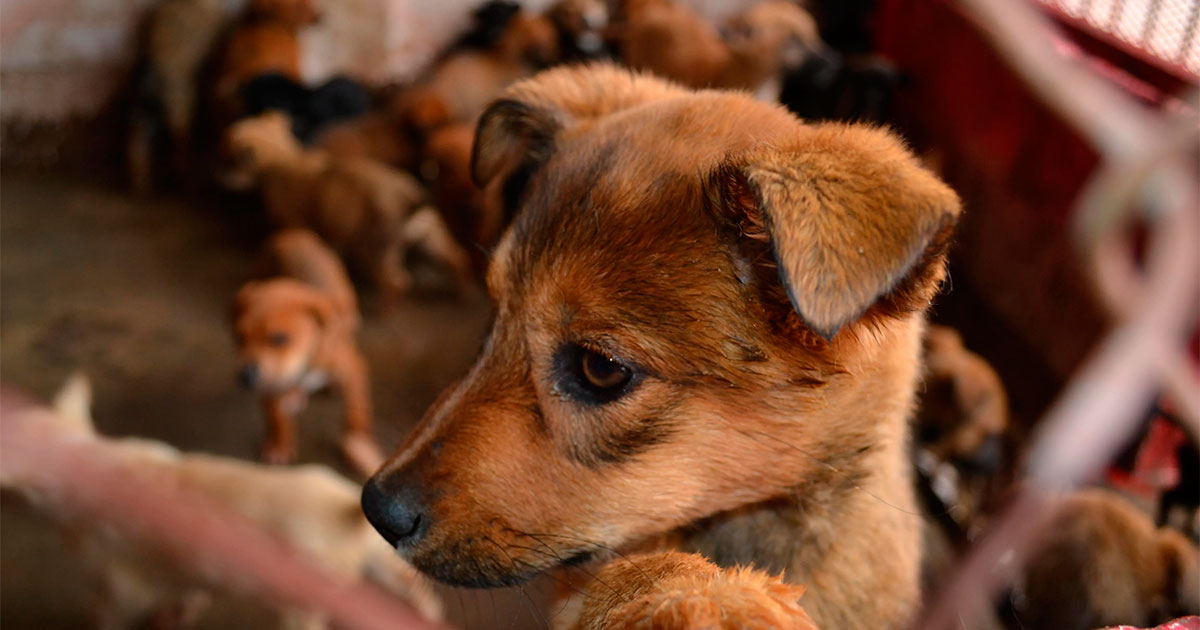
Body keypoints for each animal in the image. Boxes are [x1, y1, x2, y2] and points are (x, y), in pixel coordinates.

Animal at [1, 374, 441, 628]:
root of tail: (345, 508)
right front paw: (183, 611)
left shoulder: (121, 584)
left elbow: (103, 614)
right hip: (375, 557)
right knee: (418, 592)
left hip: (304, 599)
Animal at [224, 112, 472, 309]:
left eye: (229, 158)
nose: (219, 174)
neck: (283, 159)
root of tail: (412, 198)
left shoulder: (293, 222)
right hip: (431, 240)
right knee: (456, 260)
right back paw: (463, 295)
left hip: (377, 249)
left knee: (397, 282)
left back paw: (382, 310)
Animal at [231, 228, 381, 475]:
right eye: (238, 338)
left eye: (279, 338)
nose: (245, 376)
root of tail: (293, 234)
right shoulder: (269, 382)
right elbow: (275, 416)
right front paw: (279, 443)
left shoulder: (354, 369)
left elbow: (356, 411)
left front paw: (361, 444)